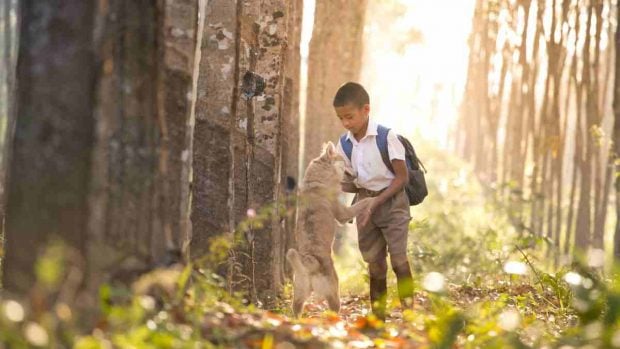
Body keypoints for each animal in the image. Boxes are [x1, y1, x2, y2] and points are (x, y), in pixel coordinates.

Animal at [286, 141, 372, 316]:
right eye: (345, 162)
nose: (356, 173)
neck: (317, 180)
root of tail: (309, 265)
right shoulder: (343, 213)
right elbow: (363, 203)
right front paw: (374, 198)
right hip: (334, 293)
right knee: (334, 311)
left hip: (298, 295)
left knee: (296, 312)